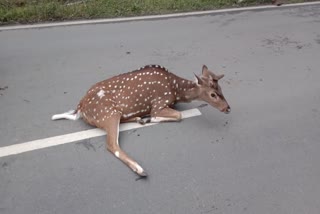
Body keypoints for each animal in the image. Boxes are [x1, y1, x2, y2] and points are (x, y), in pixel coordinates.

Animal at [52, 65, 231, 177]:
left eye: (221, 89)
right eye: (213, 94)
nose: (228, 108)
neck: (175, 91)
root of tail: (80, 107)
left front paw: (145, 118)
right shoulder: (158, 103)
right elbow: (178, 115)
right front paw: (151, 118)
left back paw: (139, 119)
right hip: (107, 113)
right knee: (112, 145)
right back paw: (140, 169)